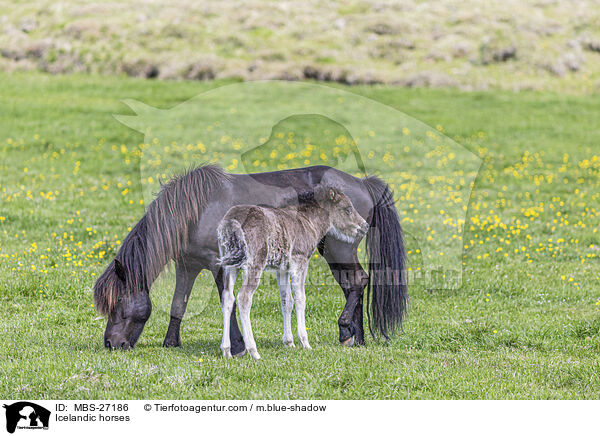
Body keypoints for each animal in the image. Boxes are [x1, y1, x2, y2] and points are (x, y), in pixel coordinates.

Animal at [94, 165, 408, 352]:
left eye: (119, 305)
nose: (111, 343)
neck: (196, 210)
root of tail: (363, 183)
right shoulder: (187, 265)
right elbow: (178, 304)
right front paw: (171, 342)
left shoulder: (219, 264)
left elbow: (228, 302)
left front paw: (237, 345)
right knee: (352, 285)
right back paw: (356, 338)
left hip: (338, 249)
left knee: (358, 281)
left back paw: (346, 330)